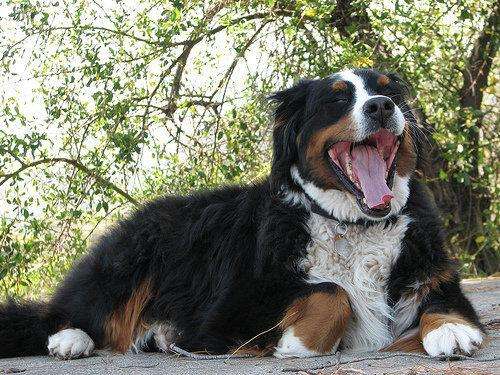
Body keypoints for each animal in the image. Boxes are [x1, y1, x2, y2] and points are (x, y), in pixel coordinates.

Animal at [0, 68, 484, 362]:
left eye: (387, 90)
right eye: (336, 100)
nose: (382, 105)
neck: (353, 223)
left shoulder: (430, 274)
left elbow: (443, 303)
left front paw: (450, 330)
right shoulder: (228, 310)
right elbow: (332, 292)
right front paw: (297, 343)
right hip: (129, 262)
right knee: (65, 313)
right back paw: (69, 339)